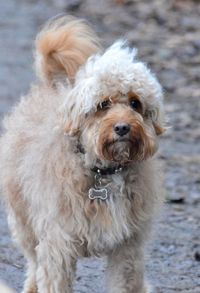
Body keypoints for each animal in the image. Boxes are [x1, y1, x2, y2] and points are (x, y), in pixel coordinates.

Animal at [0, 15, 165, 292]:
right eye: (103, 104)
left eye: (135, 103)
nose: (123, 127)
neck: (104, 171)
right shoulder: (57, 245)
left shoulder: (127, 248)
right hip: (24, 221)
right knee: (33, 263)